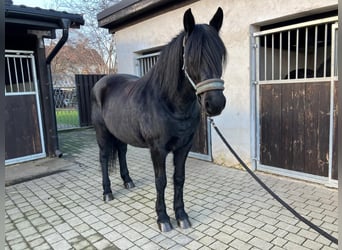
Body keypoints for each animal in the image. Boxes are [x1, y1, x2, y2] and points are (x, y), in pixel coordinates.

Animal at [91, 7, 227, 232]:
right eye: (191, 57)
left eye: (220, 55)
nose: (215, 104)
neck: (168, 103)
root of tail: (101, 82)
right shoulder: (157, 149)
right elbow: (160, 181)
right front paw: (163, 219)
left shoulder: (183, 147)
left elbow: (179, 179)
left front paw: (181, 216)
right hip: (102, 133)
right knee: (103, 158)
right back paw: (107, 192)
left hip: (120, 133)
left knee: (121, 152)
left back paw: (128, 181)